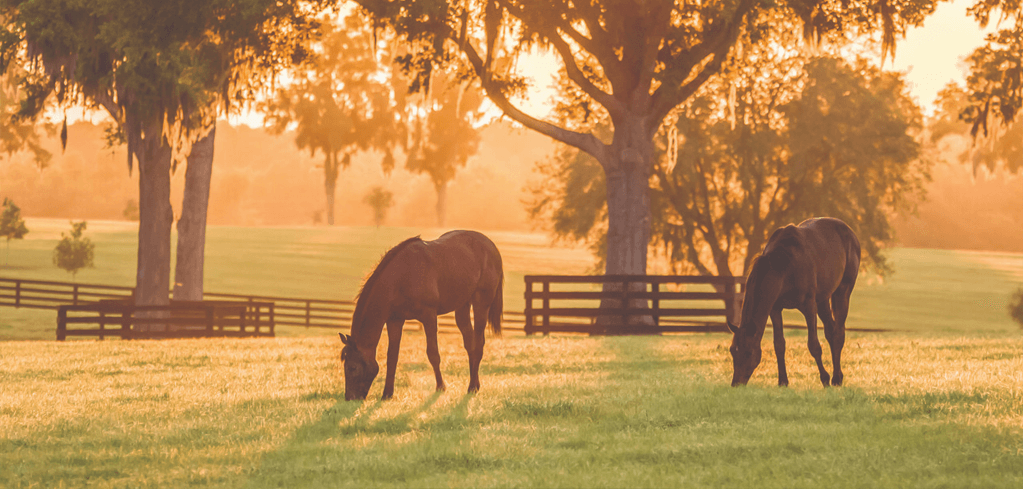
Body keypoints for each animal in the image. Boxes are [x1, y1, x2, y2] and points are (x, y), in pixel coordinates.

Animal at [338, 230, 504, 401]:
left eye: (352, 367)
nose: (349, 398)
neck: (402, 277)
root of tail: (491, 246)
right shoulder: (395, 320)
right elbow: (392, 357)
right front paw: (387, 394)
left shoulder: (429, 316)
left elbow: (433, 354)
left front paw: (440, 387)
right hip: (462, 306)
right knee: (470, 344)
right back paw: (473, 385)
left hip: (481, 304)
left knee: (478, 344)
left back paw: (472, 387)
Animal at [727, 217, 860, 387]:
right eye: (732, 350)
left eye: (748, 352)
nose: (736, 383)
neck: (783, 267)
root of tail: (851, 233)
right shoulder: (775, 309)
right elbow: (779, 345)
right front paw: (783, 381)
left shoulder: (809, 306)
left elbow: (814, 345)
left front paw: (825, 379)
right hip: (823, 299)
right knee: (831, 331)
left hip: (842, 292)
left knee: (838, 333)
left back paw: (836, 378)